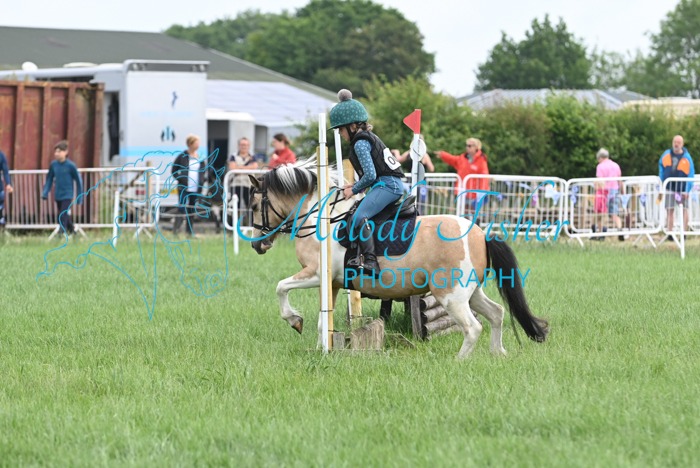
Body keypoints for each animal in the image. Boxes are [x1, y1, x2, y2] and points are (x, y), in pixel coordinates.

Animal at [246, 159, 549, 358]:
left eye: (254, 205)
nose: (258, 245)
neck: (320, 218)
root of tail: (480, 233)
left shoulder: (316, 274)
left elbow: (281, 287)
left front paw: (294, 320)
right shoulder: (331, 283)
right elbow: (324, 320)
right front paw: (323, 348)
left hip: (450, 294)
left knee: (473, 327)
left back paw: (460, 361)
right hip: (470, 291)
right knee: (497, 313)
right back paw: (499, 353)